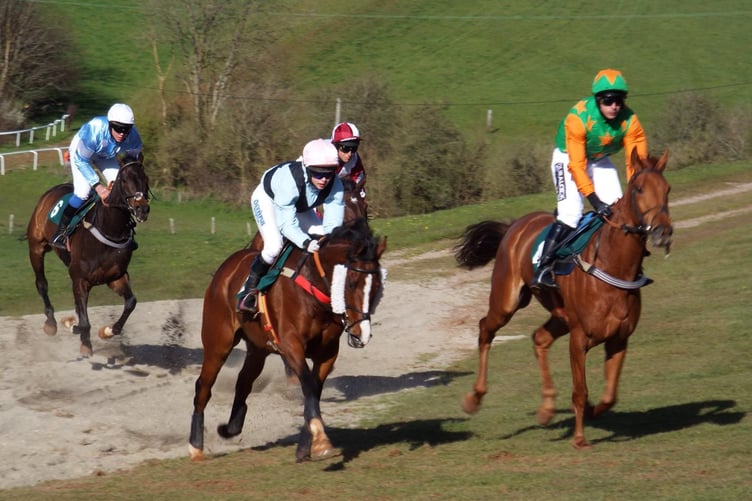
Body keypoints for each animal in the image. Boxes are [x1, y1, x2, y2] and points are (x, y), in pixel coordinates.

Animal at [26, 156, 151, 357]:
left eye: (145, 179)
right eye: (124, 180)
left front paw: (107, 331)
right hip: (36, 248)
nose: (142, 209)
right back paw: (51, 323)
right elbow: (84, 320)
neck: (109, 229)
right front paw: (79, 334)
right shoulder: (80, 279)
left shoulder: (115, 277)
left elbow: (131, 302)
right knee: (41, 284)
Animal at [189, 217, 386, 462]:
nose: (362, 333)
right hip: (218, 342)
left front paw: (305, 446)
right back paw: (195, 446)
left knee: (243, 381)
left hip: (258, 349)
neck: (313, 290)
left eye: (377, 285)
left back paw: (231, 427)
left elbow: (314, 390)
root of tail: (227, 266)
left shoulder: (328, 352)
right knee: (204, 385)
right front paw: (320, 441)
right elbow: (308, 385)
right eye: (351, 282)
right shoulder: (290, 346)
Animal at [454, 149, 672, 449]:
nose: (663, 232)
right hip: (507, 302)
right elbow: (580, 390)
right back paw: (474, 398)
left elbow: (609, 396)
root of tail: (515, 225)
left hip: (560, 316)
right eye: (639, 189)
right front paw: (579, 438)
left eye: (667, 189)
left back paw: (546, 408)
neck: (613, 265)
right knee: (486, 328)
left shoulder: (619, 338)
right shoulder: (579, 339)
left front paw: (590, 411)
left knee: (539, 338)